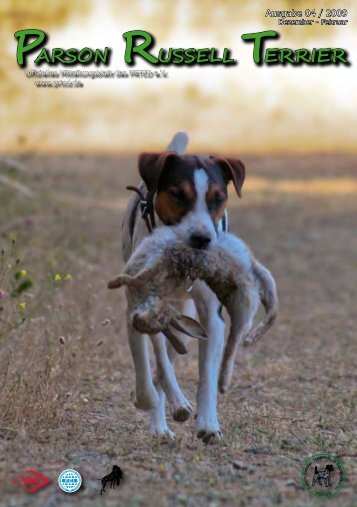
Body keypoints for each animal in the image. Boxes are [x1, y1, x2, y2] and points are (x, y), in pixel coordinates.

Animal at [120, 132, 245, 444]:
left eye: (218, 198)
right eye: (177, 194)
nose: (201, 239)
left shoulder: (211, 319)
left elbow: (207, 374)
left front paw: (209, 423)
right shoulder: (147, 306)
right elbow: (159, 362)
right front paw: (168, 400)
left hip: (186, 320)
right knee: (147, 357)